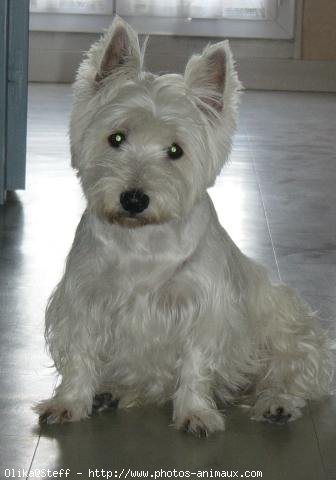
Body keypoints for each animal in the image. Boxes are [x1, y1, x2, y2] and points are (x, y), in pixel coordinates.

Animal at [35, 16, 334, 436]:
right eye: (116, 138)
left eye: (175, 151)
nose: (134, 199)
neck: (142, 242)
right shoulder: (82, 299)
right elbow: (79, 353)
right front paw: (68, 403)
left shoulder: (204, 309)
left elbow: (196, 363)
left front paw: (195, 413)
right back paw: (108, 392)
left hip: (289, 329)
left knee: (290, 373)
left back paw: (276, 404)